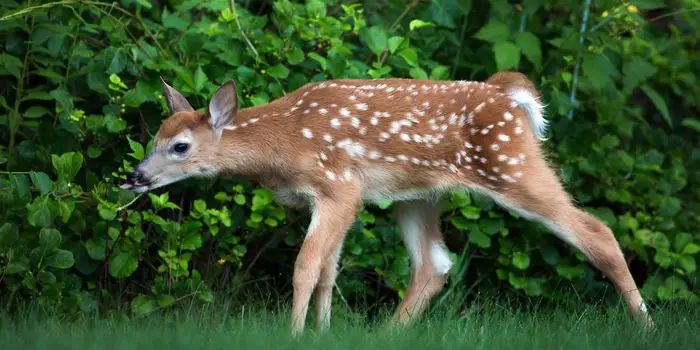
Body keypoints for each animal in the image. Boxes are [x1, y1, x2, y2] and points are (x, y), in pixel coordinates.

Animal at [121, 70, 656, 334]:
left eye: (180, 146)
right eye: (153, 138)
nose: (136, 176)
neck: (285, 141)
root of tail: (509, 97)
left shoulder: (339, 185)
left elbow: (305, 267)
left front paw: (293, 335)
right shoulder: (339, 197)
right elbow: (329, 271)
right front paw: (323, 333)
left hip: (511, 165)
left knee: (597, 231)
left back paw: (647, 327)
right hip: (419, 195)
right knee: (435, 263)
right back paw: (386, 337)